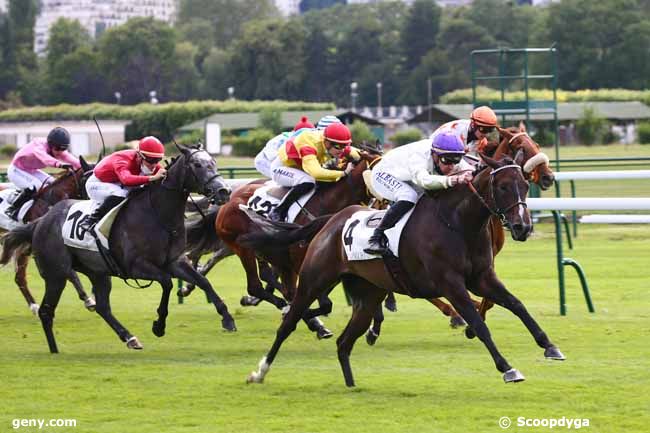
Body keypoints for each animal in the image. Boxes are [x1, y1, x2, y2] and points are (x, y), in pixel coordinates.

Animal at [243, 154, 560, 386]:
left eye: (524, 184)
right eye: (504, 186)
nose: (522, 227)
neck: (458, 223)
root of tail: (333, 220)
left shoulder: (482, 277)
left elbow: (517, 305)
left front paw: (549, 345)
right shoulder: (451, 284)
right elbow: (479, 324)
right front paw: (507, 368)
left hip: (368, 295)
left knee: (345, 342)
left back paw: (351, 385)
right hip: (313, 281)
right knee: (289, 323)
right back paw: (260, 371)